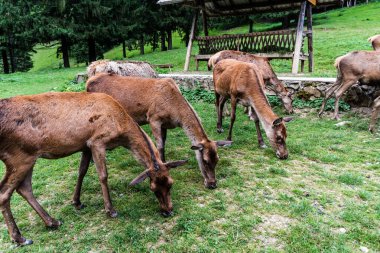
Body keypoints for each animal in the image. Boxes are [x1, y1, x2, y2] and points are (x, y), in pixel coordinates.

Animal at [0, 91, 186, 245]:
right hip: (19, 156)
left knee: (24, 188)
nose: (168, 211)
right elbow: (103, 175)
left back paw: (52, 222)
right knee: (5, 192)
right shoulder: (97, 141)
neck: (121, 127)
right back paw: (20, 238)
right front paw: (110, 210)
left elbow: (82, 171)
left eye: (171, 183)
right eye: (153, 188)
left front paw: (77, 201)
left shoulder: (85, 145)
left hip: (28, 156)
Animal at [85, 72, 232, 188]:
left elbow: (164, 143)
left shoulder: (165, 124)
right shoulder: (153, 118)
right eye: (205, 160)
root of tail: (88, 81)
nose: (212, 184)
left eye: (217, 159)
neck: (174, 111)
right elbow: (160, 145)